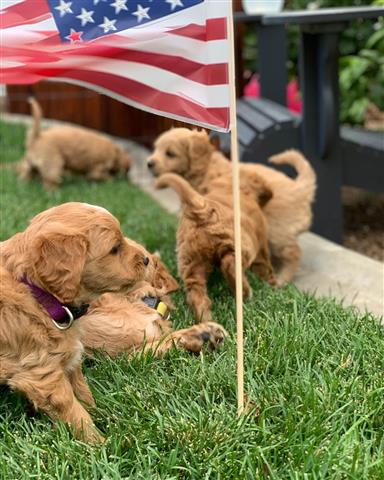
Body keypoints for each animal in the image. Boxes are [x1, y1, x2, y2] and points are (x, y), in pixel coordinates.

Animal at [0, 202, 225, 442]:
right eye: (115, 248)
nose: (146, 259)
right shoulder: (45, 372)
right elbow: (76, 413)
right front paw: (100, 445)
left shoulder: (69, 354)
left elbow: (84, 394)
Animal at [147, 127, 316, 284]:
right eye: (155, 148)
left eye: (170, 153)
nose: (149, 163)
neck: (206, 168)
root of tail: (300, 187)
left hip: (277, 231)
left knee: (294, 253)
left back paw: (283, 279)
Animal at [154, 172, 274, 322]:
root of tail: (203, 208)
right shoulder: (261, 245)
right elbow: (265, 266)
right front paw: (272, 284)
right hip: (244, 245)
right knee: (230, 265)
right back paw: (245, 293)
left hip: (191, 261)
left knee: (196, 294)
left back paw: (206, 320)